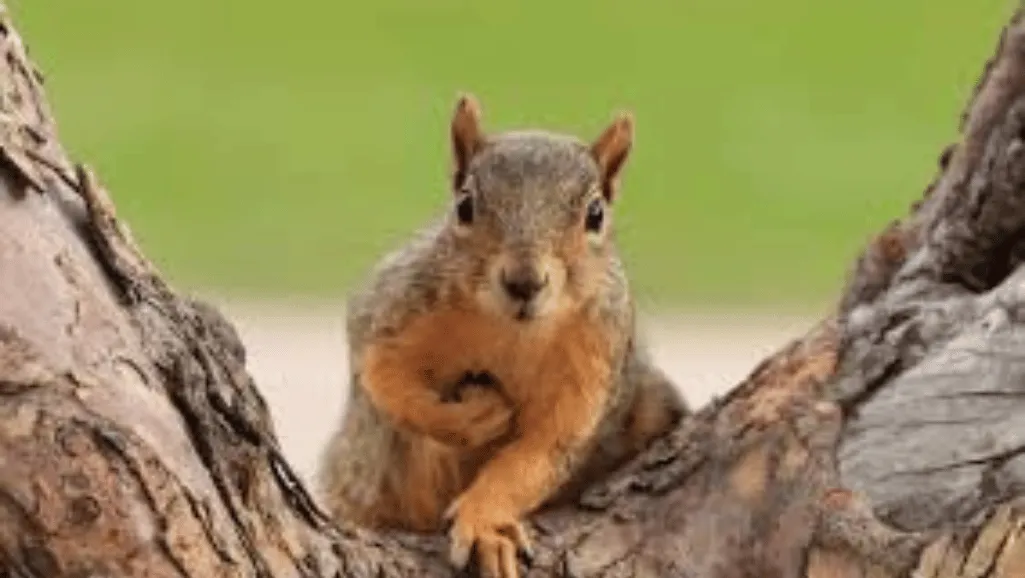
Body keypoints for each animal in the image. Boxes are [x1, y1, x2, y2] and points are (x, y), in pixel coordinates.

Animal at [317, 93, 688, 578]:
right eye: (464, 205)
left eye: (596, 214)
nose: (524, 283)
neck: (512, 333)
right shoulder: (395, 308)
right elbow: (382, 377)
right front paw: (472, 417)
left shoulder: (595, 362)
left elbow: (539, 455)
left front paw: (485, 525)